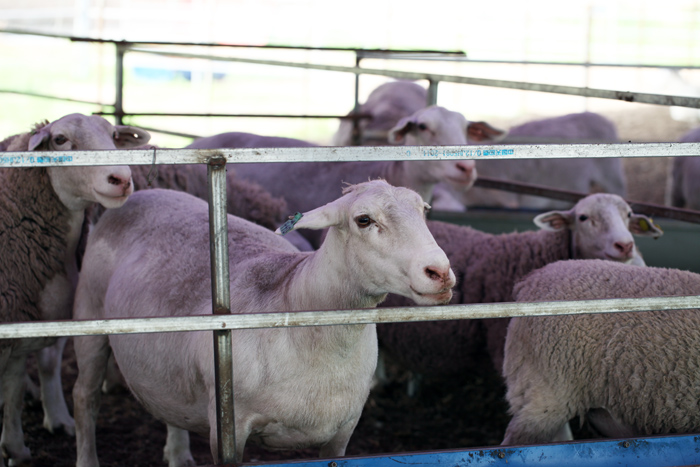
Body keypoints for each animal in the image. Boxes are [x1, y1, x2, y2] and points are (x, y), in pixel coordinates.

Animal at [0, 113, 148, 467]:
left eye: (114, 135)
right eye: (60, 140)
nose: (121, 178)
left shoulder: (20, 319)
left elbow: (12, 387)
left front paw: (14, 448)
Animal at [71, 180, 454, 467]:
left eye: (424, 211)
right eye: (363, 219)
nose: (440, 272)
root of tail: (139, 195)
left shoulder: (343, 432)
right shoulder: (227, 428)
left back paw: (178, 454)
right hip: (88, 313)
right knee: (85, 397)